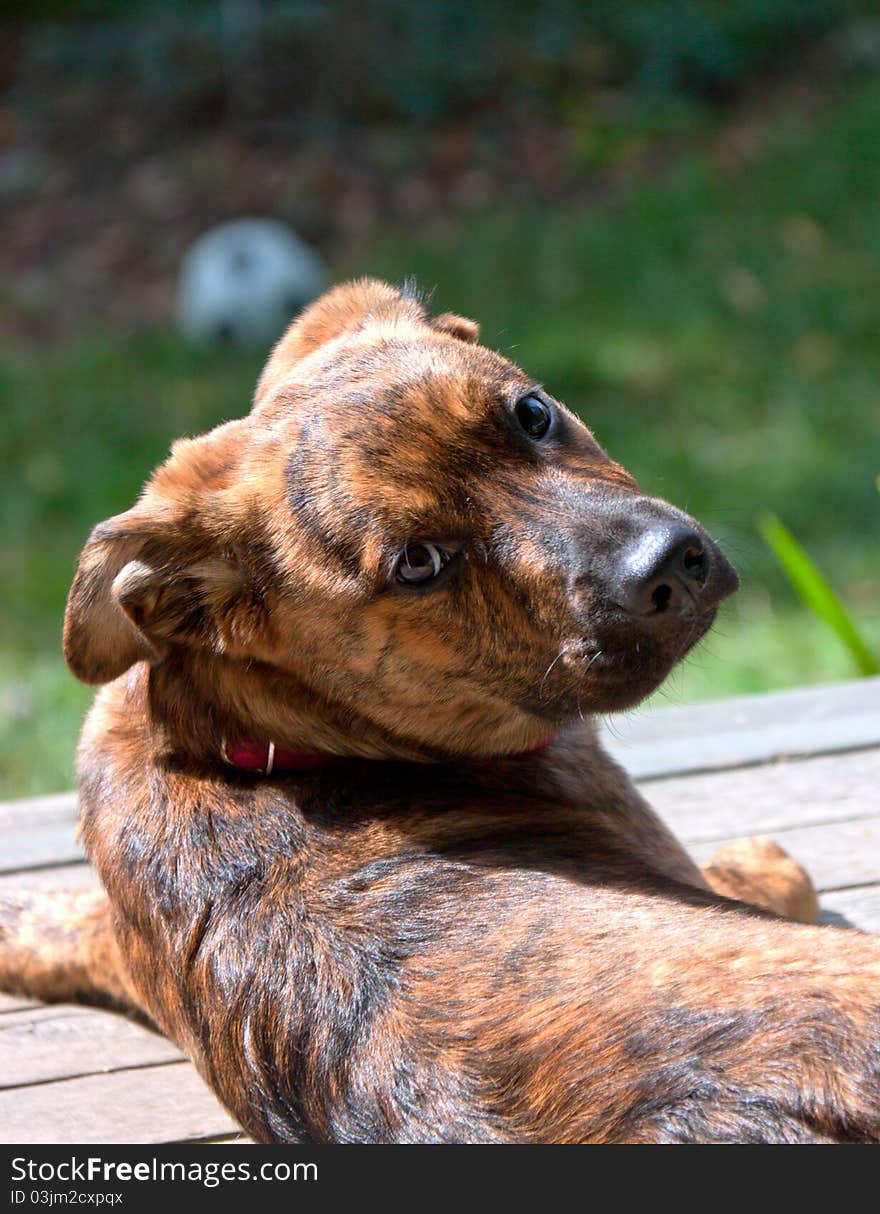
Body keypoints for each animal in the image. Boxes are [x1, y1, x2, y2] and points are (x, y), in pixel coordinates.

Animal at [1, 279, 878, 1141]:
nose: (664, 568)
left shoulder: (120, 935)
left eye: (532, 413)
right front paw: (758, 862)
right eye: (418, 563)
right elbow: (779, 875)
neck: (254, 744)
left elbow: (66, 927)